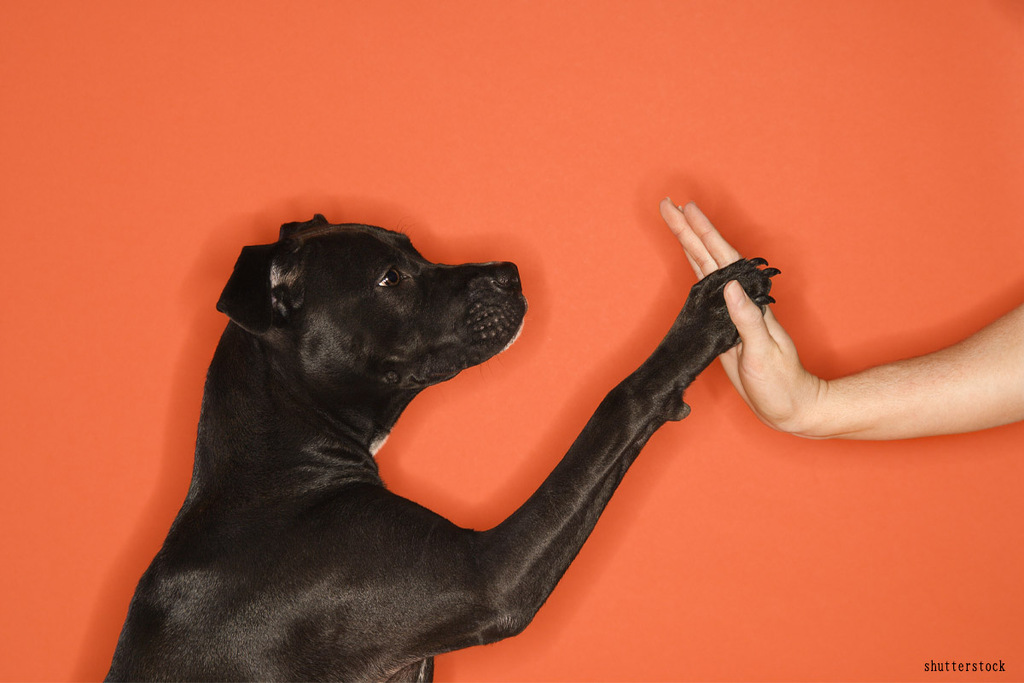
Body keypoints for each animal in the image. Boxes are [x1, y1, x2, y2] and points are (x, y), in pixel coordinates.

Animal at [105, 211, 774, 679]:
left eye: (415, 251)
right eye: (390, 277)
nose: (510, 272)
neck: (274, 472)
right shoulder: (487, 577)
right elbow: (617, 404)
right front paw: (703, 321)